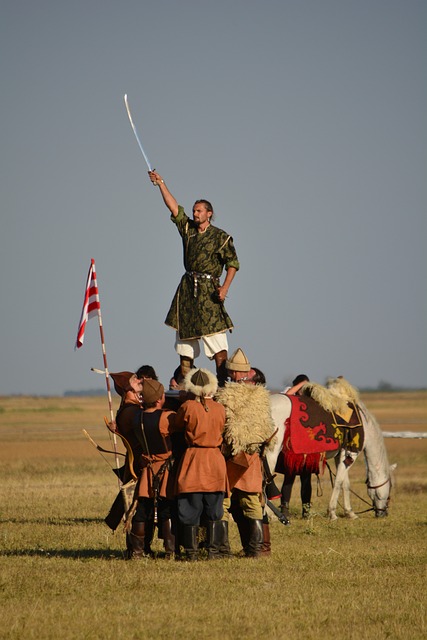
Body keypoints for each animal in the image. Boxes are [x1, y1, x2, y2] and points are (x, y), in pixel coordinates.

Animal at [268, 390, 394, 520]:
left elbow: (345, 483)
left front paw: (350, 512)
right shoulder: (352, 453)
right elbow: (338, 482)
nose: (383, 513)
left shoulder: (342, 455)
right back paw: (272, 516)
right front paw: (332, 512)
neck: (364, 424)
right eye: (391, 487)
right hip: (272, 452)